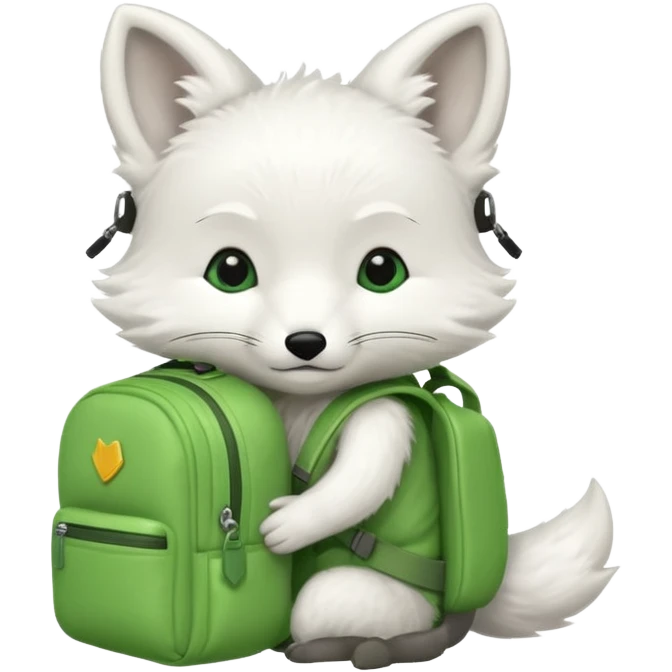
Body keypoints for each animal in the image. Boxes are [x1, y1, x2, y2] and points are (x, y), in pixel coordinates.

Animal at [93, 2, 619, 668]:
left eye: (381, 270)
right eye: (230, 271)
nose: (305, 343)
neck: (302, 402)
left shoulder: (385, 418)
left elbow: (360, 479)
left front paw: (287, 524)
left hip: (357, 593)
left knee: (354, 609)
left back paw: (348, 645)